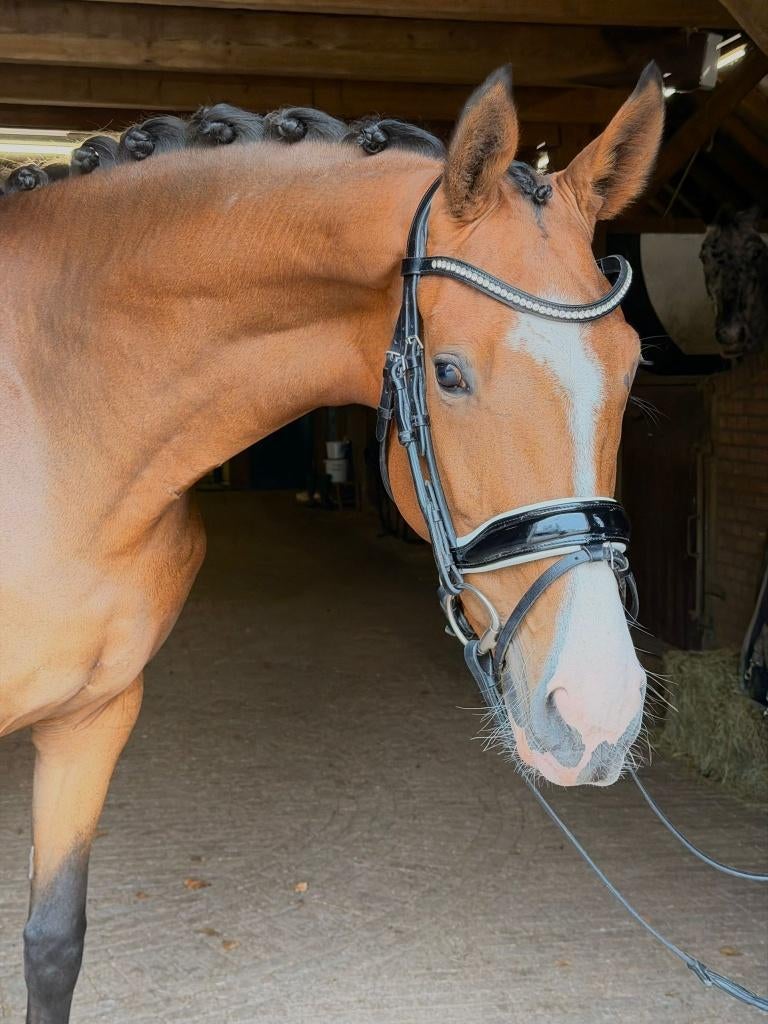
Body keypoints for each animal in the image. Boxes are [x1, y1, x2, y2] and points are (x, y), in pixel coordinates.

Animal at [0, 64, 664, 1023]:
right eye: (448, 373)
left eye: (632, 364)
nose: (596, 715)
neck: (56, 412)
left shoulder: (93, 718)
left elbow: (53, 946)